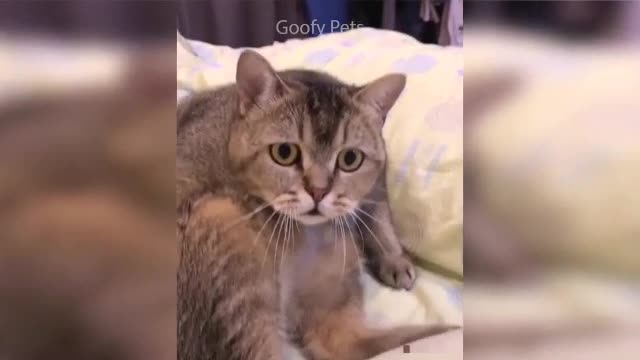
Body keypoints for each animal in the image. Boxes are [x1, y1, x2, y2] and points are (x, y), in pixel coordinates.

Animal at [175, 50, 456, 360]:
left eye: (350, 159)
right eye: (284, 153)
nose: (319, 191)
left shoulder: (374, 186)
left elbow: (378, 216)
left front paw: (393, 258)